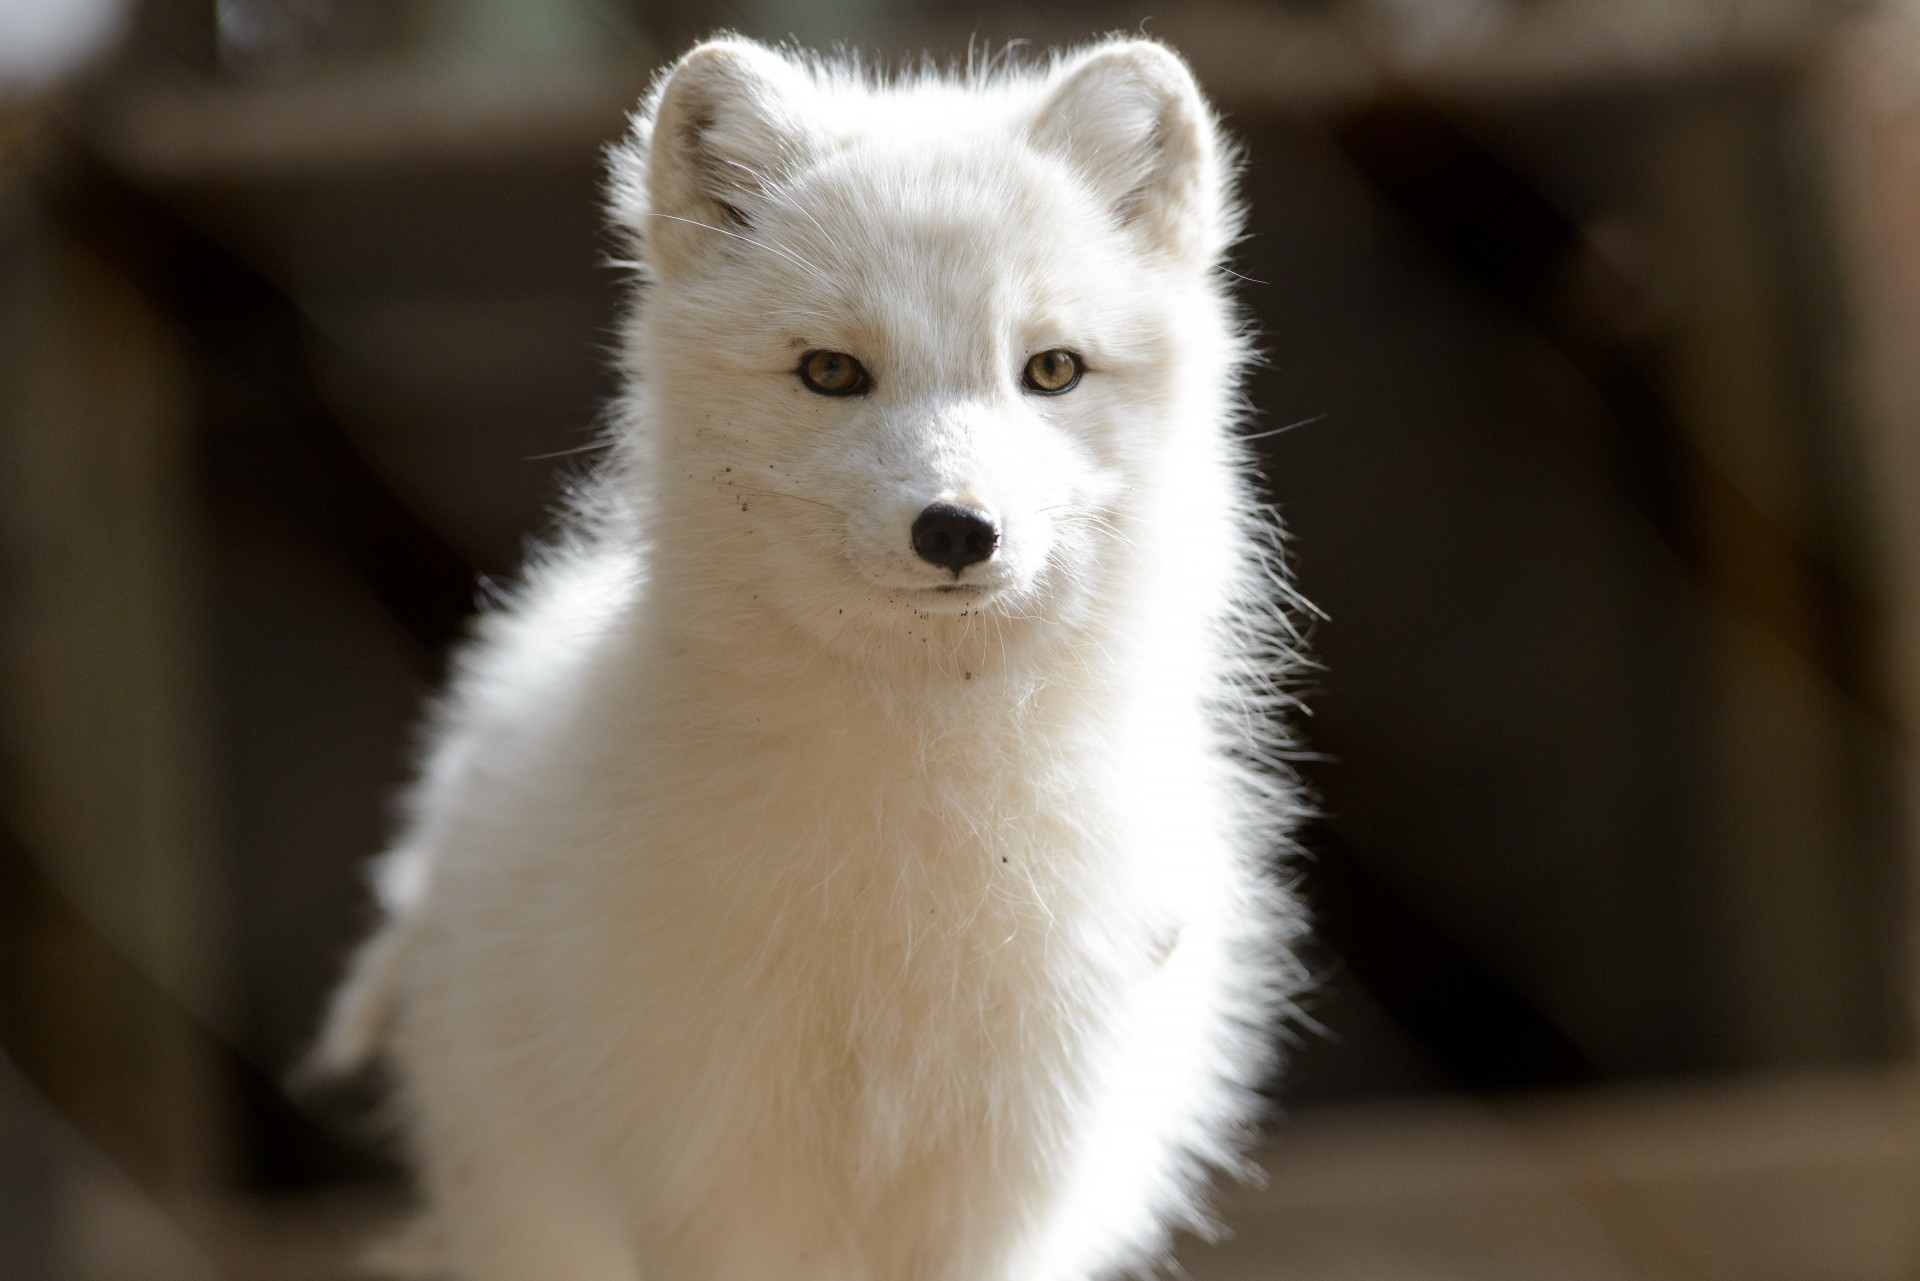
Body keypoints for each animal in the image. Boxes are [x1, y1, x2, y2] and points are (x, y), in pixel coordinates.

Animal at [315, 34, 1308, 1281]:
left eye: (1051, 370)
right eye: (831, 372)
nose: (957, 530)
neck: (928, 836)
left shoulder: (999, 1202)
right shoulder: (717, 1181)